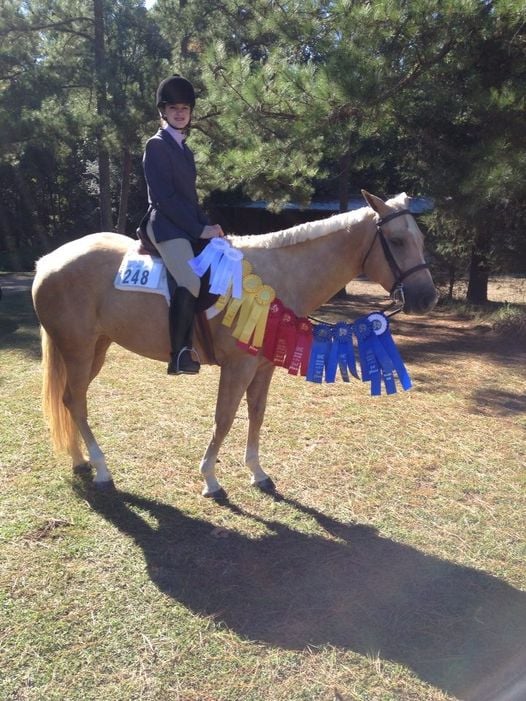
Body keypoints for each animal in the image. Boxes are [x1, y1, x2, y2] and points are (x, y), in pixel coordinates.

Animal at [31, 191, 440, 498]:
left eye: (421, 240)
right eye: (397, 241)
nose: (428, 298)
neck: (276, 278)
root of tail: (48, 261)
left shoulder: (263, 367)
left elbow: (256, 414)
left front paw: (257, 472)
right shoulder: (237, 367)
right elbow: (224, 418)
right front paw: (210, 478)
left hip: (96, 348)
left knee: (69, 400)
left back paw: (80, 460)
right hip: (79, 350)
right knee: (76, 403)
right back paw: (101, 469)